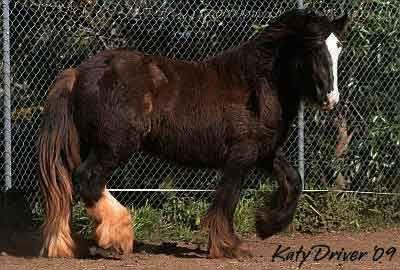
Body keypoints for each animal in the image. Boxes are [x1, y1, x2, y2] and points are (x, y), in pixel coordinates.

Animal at [39, 9, 348, 258]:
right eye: (312, 48)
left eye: (338, 48)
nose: (331, 99)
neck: (256, 83)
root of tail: (78, 73)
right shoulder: (241, 155)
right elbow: (227, 200)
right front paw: (229, 246)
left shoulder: (265, 152)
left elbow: (293, 180)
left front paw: (265, 225)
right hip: (114, 146)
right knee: (87, 180)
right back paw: (118, 237)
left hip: (92, 145)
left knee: (74, 186)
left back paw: (71, 244)